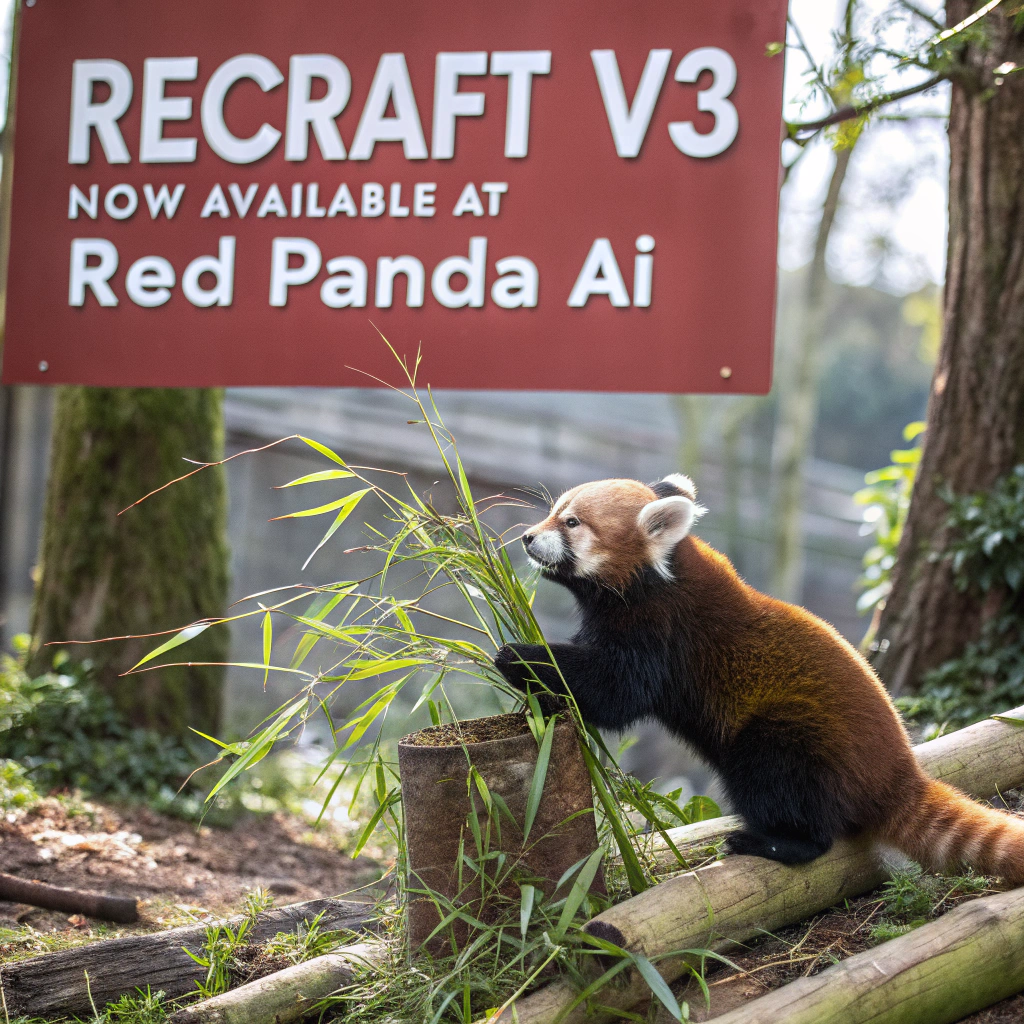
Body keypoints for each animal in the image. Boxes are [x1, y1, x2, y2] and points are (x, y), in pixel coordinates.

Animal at [494, 474, 1024, 883]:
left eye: (571, 523)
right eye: (553, 512)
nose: (527, 538)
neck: (656, 578)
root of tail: (899, 771)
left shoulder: (663, 633)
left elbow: (616, 691)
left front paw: (516, 657)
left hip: (794, 738)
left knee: (784, 785)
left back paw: (769, 842)